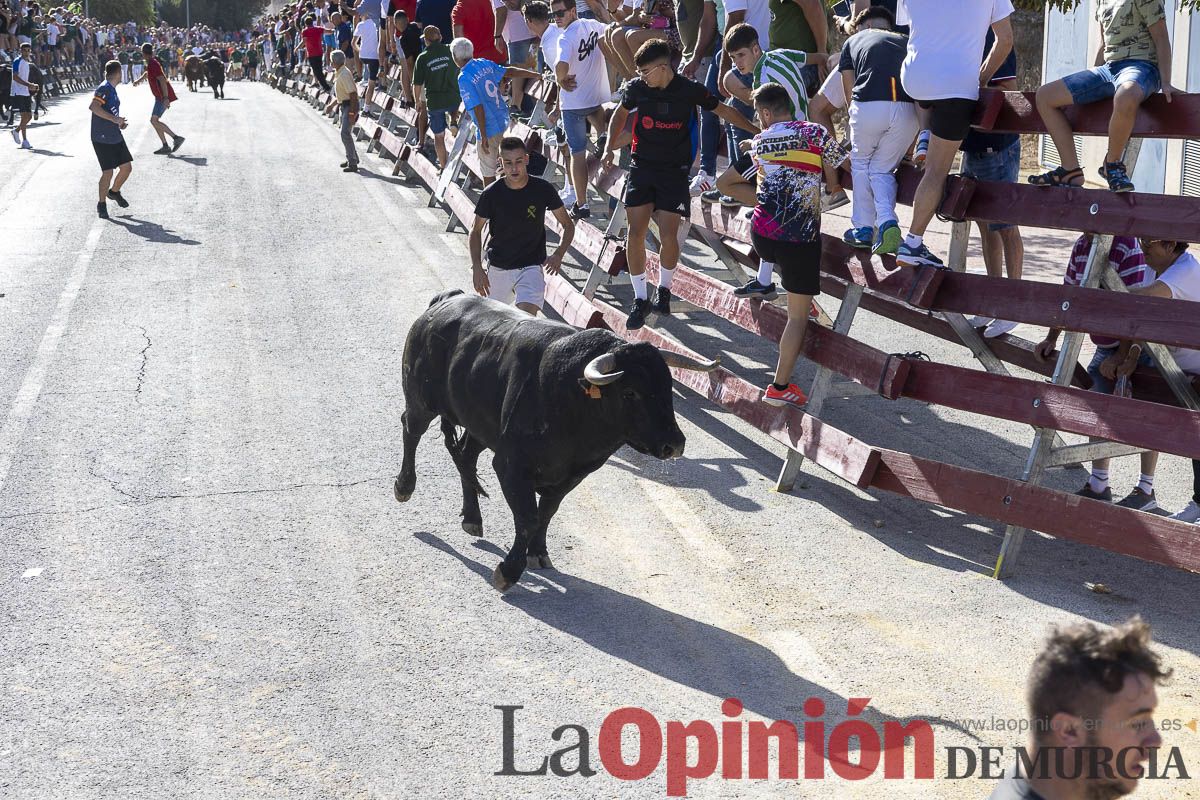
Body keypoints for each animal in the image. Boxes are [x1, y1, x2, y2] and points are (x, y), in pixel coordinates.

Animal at [393, 291, 715, 592]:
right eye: (630, 392)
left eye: (668, 387)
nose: (674, 444)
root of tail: (448, 299)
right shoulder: (511, 465)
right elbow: (528, 516)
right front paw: (509, 571)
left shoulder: (574, 474)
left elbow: (547, 511)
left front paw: (538, 553)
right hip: (421, 401)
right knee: (411, 430)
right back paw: (404, 486)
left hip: (479, 424)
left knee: (466, 456)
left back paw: (472, 517)